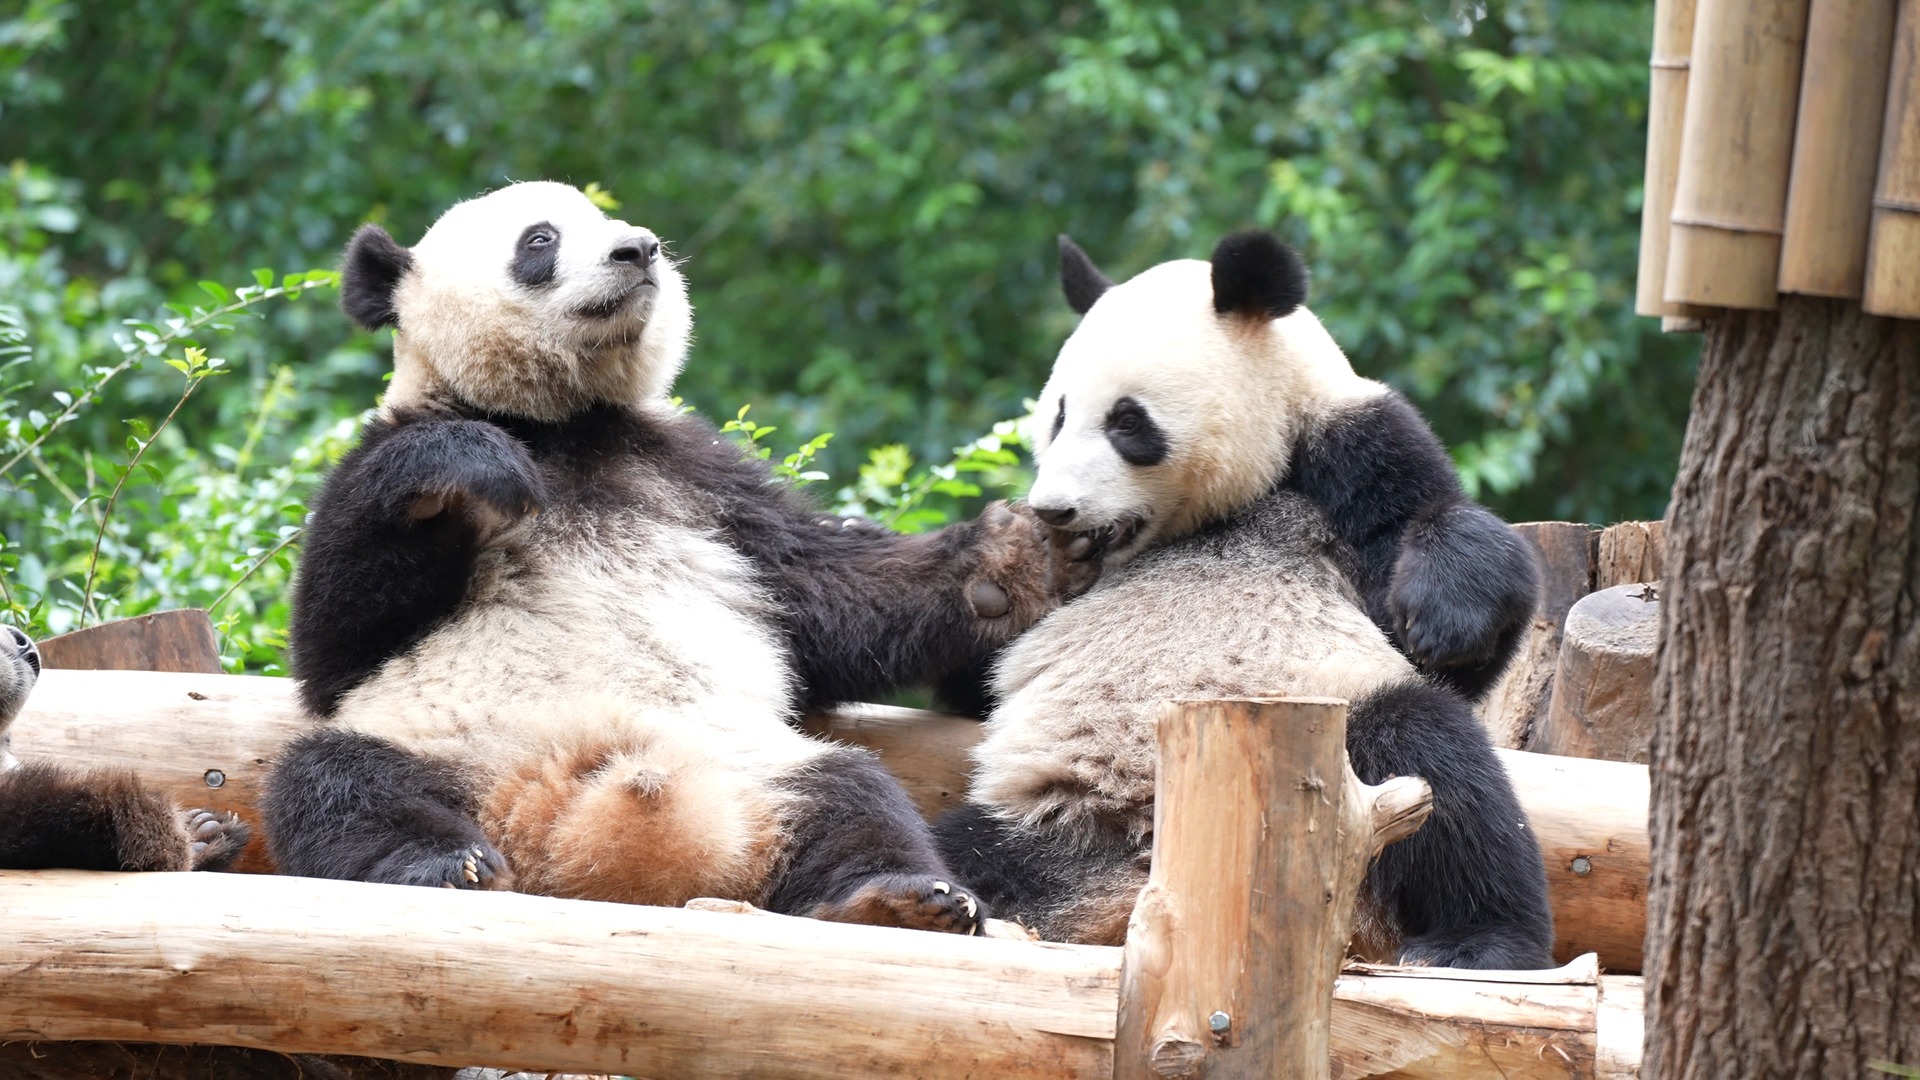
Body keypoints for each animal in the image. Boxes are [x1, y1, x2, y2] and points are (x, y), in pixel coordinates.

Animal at [262, 182, 1089, 933]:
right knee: (339, 786)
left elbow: (819, 591)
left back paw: (896, 898)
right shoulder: (375, 460)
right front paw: (472, 465)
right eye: (540, 239)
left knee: (854, 795)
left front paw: (1016, 562)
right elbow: (338, 636)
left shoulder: (697, 478)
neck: (561, 423)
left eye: (610, 219)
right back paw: (445, 865)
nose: (638, 249)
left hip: (756, 762)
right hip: (446, 743)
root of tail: (571, 828)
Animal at [933, 231, 1555, 968]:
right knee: (941, 838)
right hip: (1044, 821)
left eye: (1126, 421)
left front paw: (1441, 623)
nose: (1055, 509)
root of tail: (1138, 885)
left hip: (1349, 768)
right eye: (1055, 416)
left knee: (1430, 756)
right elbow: (976, 682)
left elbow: (1449, 619)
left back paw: (1478, 942)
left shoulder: (1353, 453)